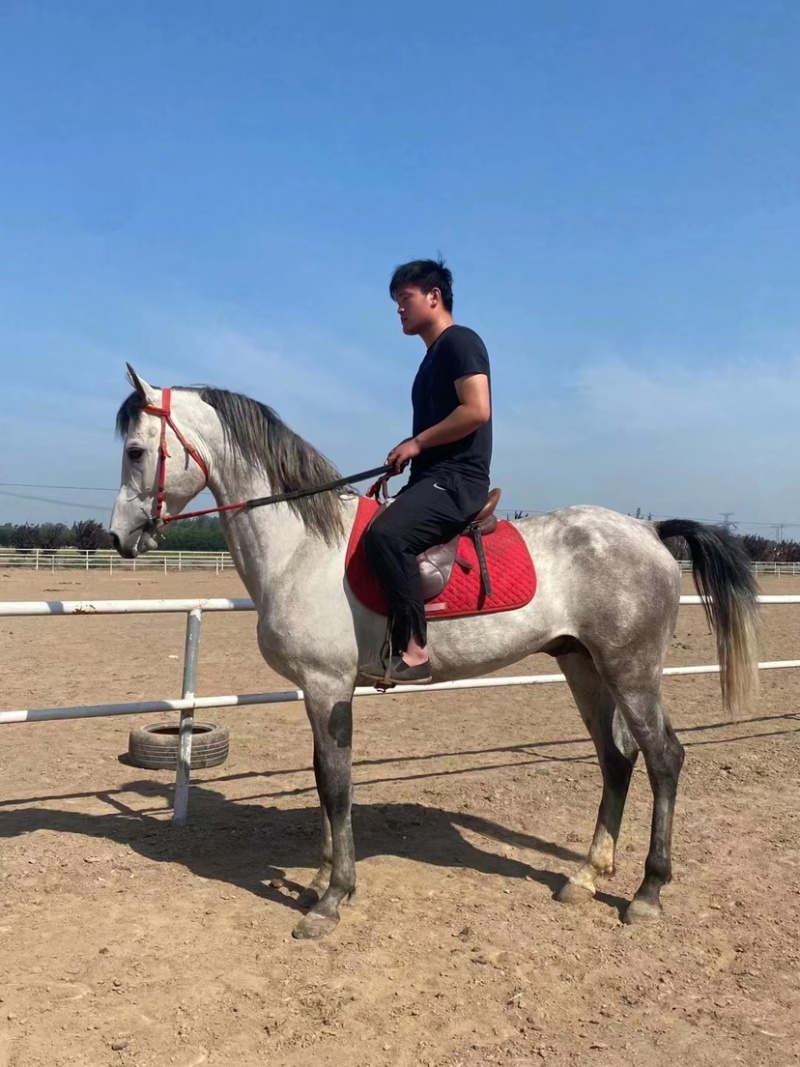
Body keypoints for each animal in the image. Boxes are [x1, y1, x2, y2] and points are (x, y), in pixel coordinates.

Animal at [110, 366, 761, 940]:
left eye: (137, 451)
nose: (119, 537)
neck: (304, 547)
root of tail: (650, 531)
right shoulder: (316, 689)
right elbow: (323, 778)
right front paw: (322, 877)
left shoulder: (327, 685)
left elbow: (337, 785)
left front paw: (332, 898)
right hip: (584, 667)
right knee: (616, 759)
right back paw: (585, 877)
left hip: (632, 670)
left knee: (664, 758)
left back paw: (648, 893)